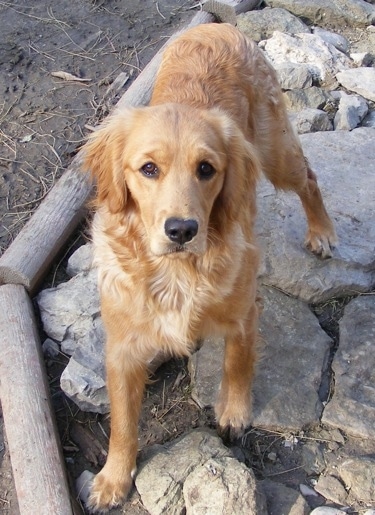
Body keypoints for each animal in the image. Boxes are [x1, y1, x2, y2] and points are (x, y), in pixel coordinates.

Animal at [83, 21, 338, 512]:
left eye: (206, 169)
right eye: (148, 169)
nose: (182, 229)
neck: (178, 274)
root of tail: (215, 25)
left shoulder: (243, 314)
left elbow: (237, 366)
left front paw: (234, 414)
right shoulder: (122, 346)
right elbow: (123, 420)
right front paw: (113, 477)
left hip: (277, 153)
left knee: (311, 178)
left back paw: (322, 231)